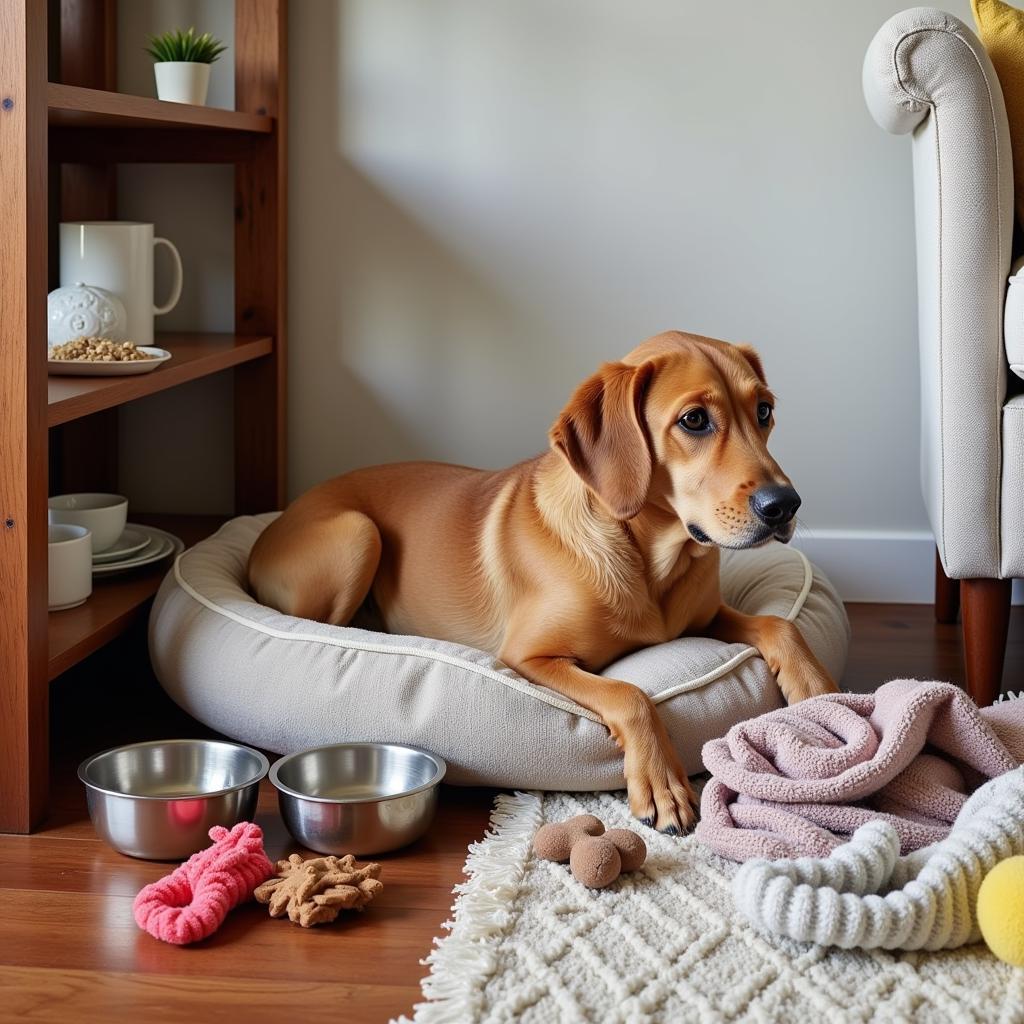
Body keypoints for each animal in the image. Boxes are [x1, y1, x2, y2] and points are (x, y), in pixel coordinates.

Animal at [249, 331, 839, 835]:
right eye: (694, 420)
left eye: (764, 411)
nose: (785, 505)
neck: (650, 558)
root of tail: (267, 530)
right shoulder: (530, 657)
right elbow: (630, 693)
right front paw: (663, 783)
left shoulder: (707, 615)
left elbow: (778, 624)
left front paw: (818, 689)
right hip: (358, 533)